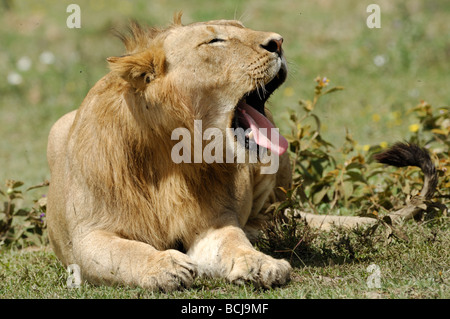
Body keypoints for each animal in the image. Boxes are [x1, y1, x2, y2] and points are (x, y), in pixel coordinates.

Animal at [46, 14, 292, 292]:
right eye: (215, 41)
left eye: (241, 28)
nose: (278, 42)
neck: (171, 152)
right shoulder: (88, 234)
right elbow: (126, 252)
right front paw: (165, 266)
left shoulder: (213, 223)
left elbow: (233, 241)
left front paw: (261, 263)